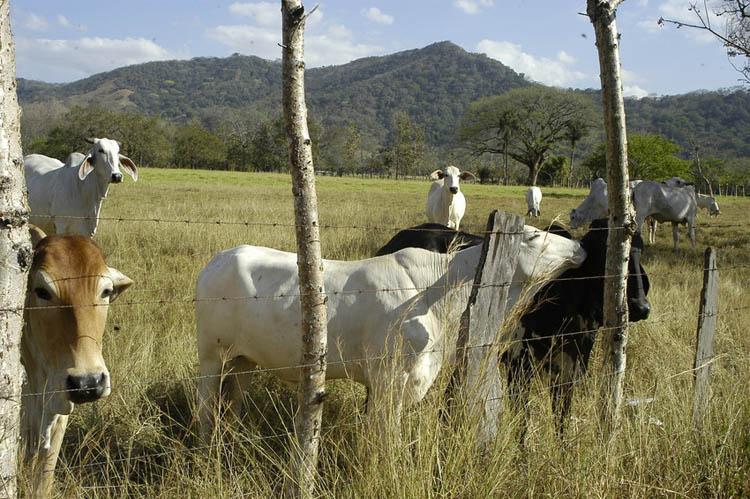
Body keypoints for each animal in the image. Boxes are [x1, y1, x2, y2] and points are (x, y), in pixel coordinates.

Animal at [195, 227, 588, 442]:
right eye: (534, 235)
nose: (579, 246)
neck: (437, 290)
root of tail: (219, 258)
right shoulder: (387, 377)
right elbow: (388, 435)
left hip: (243, 361)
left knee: (231, 404)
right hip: (211, 357)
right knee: (206, 407)